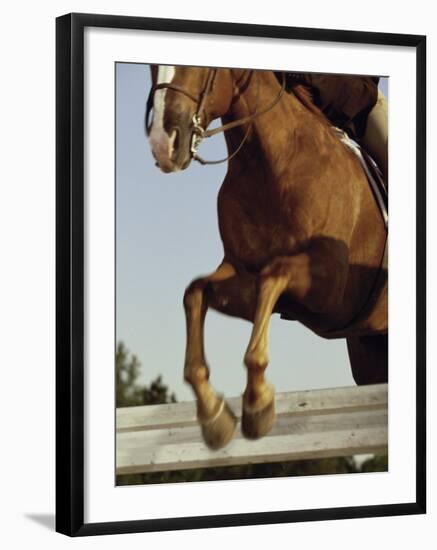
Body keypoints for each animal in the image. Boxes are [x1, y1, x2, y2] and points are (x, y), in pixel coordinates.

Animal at [147, 66, 388, 452]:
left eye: (203, 69)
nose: (162, 145)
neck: (272, 163)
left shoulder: (332, 291)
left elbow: (273, 276)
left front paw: (258, 404)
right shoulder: (242, 274)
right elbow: (196, 292)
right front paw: (215, 416)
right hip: (372, 353)